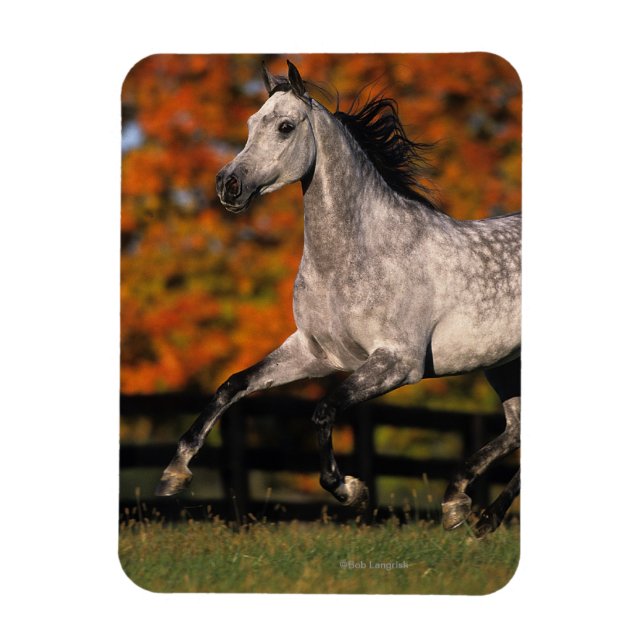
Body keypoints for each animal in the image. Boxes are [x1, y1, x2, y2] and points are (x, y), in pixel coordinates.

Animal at [155, 60, 521, 537]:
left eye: (286, 127)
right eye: (251, 123)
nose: (228, 185)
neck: (356, 255)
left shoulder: (399, 363)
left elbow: (324, 411)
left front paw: (350, 489)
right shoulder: (314, 352)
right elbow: (232, 385)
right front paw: (174, 473)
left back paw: (474, 511)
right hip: (503, 365)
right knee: (517, 430)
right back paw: (461, 504)